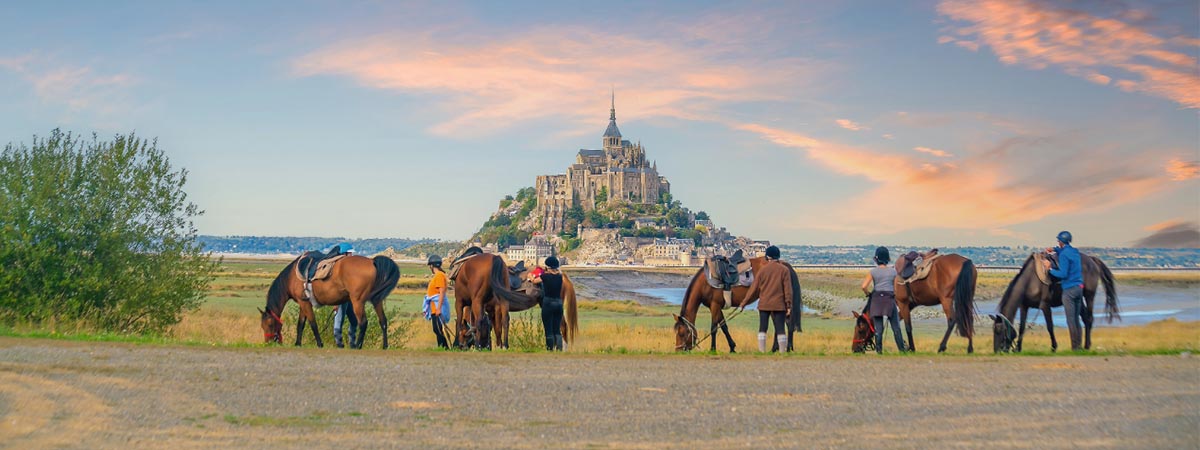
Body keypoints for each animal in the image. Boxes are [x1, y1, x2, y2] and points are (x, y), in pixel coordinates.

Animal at [260, 253, 400, 349]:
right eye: (262, 326)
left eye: (270, 324)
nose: (268, 342)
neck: (291, 277)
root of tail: (372, 261)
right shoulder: (303, 303)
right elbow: (301, 324)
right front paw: (298, 343)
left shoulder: (304, 303)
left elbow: (313, 323)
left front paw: (319, 343)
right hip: (377, 300)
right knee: (383, 321)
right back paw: (385, 346)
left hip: (358, 302)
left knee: (363, 323)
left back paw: (358, 345)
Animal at [673, 255, 802, 352]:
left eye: (682, 333)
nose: (678, 350)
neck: (705, 282)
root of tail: (783, 264)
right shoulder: (717, 307)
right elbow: (724, 327)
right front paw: (732, 347)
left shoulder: (715, 305)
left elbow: (714, 328)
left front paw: (713, 349)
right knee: (780, 323)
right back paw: (777, 348)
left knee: (785, 323)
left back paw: (787, 348)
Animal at [989, 253, 1119, 353]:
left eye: (999, 330)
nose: (997, 351)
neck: (1030, 281)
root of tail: (1092, 260)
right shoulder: (1024, 307)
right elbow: (1022, 327)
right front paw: (1018, 348)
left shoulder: (1045, 306)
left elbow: (1050, 327)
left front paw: (1053, 347)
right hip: (1079, 300)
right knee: (1085, 318)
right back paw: (1081, 346)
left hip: (1089, 295)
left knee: (1090, 318)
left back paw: (1087, 346)